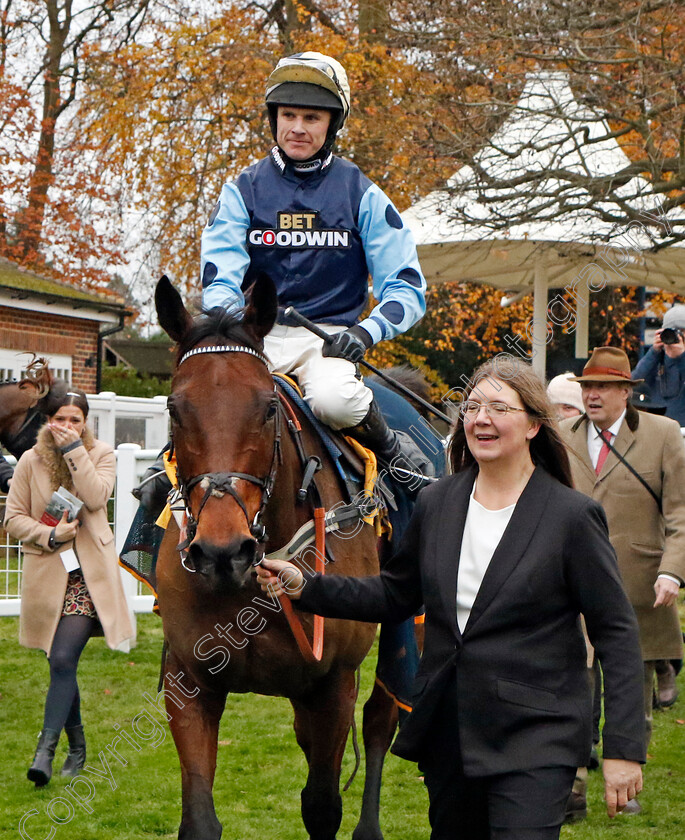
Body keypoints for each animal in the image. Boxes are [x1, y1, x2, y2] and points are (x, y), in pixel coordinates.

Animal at [155, 274, 404, 840]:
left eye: (267, 407)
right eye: (175, 408)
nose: (222, 552)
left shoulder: (334, 683)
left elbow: (322, 805)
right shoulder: (188, 680)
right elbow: (198, 817)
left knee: (382, 718)